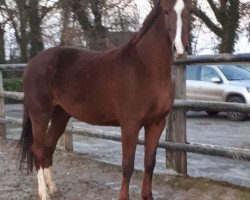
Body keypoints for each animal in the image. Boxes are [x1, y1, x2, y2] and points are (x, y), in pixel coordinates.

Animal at [19, 0, 190, 199]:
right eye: (167, 12)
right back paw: (44, 193)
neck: (145, 68)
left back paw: (53, 187)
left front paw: (147, 196)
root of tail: (31, 64)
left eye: (189, 12)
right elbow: (128, 165)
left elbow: (149, 163)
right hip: (40, 114)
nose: (180, 49)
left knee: (48, 147)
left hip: (60, 115)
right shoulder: (130, 124)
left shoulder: (156, 123)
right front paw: (123, 197)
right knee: (37, 149)